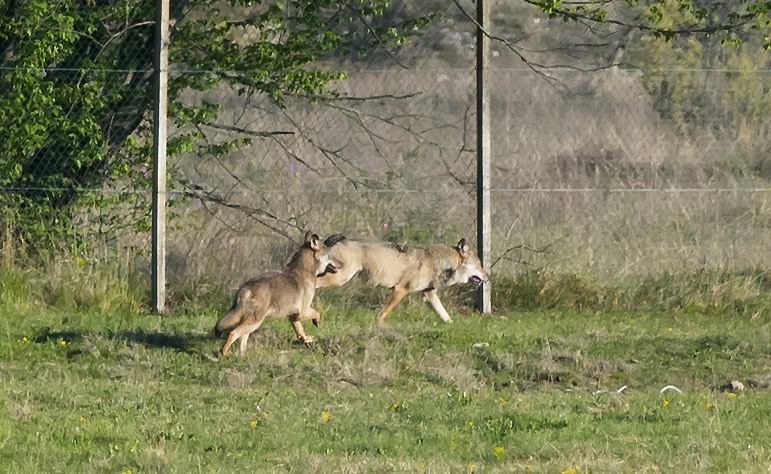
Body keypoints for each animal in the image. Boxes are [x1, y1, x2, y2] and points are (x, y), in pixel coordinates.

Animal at [318, 236, 488, 324]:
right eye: (480, 265)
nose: (488, 277)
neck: (435, 262)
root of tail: (339, 238)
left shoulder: (429, 294)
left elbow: (446, 316)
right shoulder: (400, 290)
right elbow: (384, 312)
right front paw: (379, 325)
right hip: (341, 278)